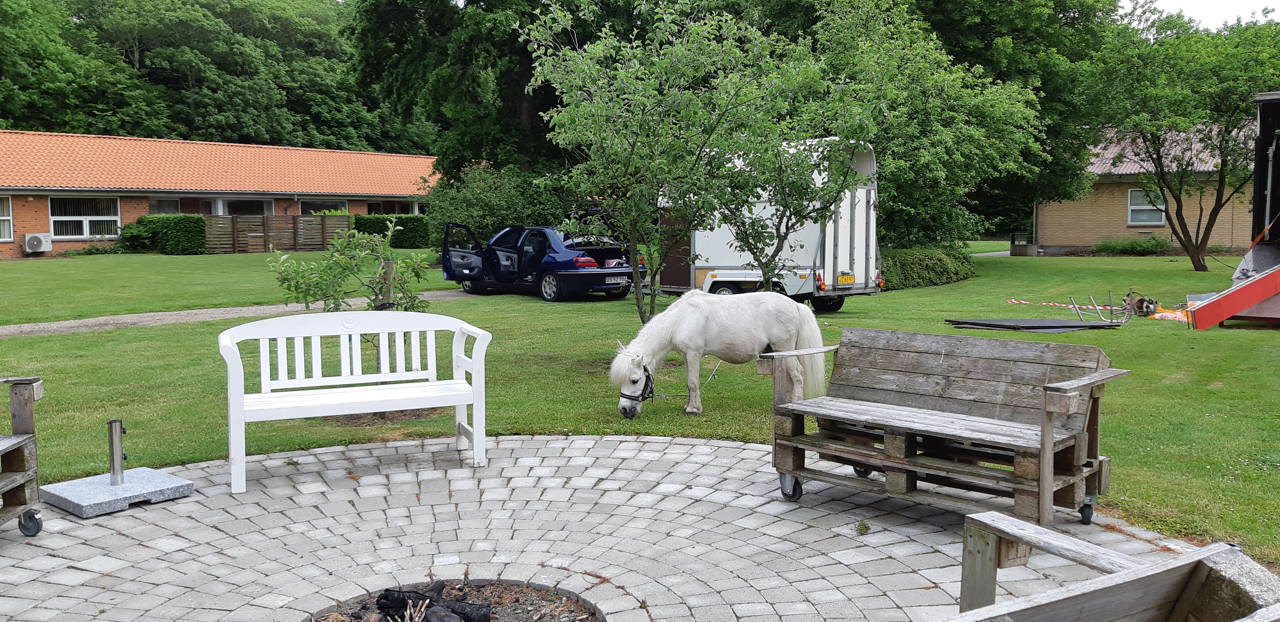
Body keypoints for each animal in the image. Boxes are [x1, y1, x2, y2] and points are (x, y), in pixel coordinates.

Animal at [609, 289, 826, 418]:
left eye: (635, 380)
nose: (624, 410)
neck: (679, 320)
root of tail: (796, 305)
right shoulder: (687, 356)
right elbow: (689, 383)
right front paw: (689, 405)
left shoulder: (693, 354)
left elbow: (693, 382)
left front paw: (693, 409)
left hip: (785, 348)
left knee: (797, 375)